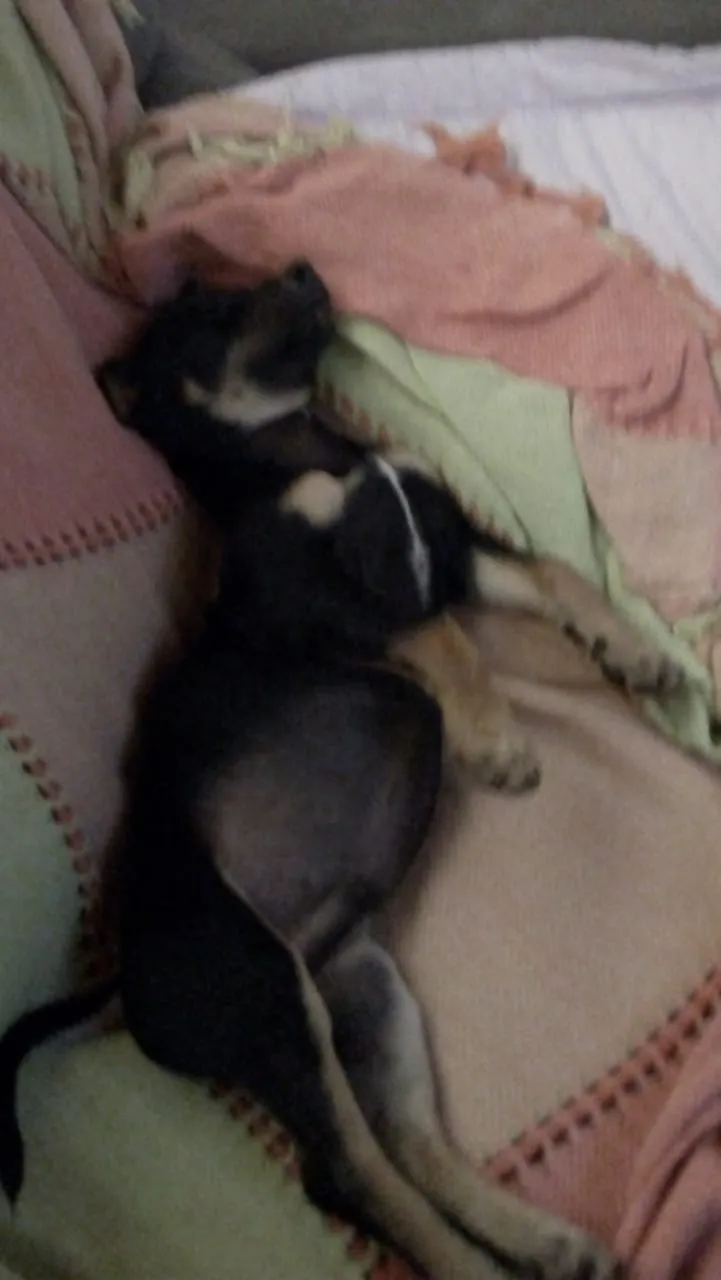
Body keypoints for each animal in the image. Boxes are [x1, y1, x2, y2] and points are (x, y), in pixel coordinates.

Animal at [0, 262, 679, 1278]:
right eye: (206, 316)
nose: (301, 271)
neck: (310, 448)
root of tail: (121, 979)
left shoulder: (453, 552)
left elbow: (554, 575)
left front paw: (630, 649)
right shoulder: (313, 592)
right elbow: (434, 634)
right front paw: (495, 740)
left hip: (366, 996)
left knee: (402, 1150)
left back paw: (544, 1242)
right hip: (268, 997)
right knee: (354, 1178)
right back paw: (475, 1264)